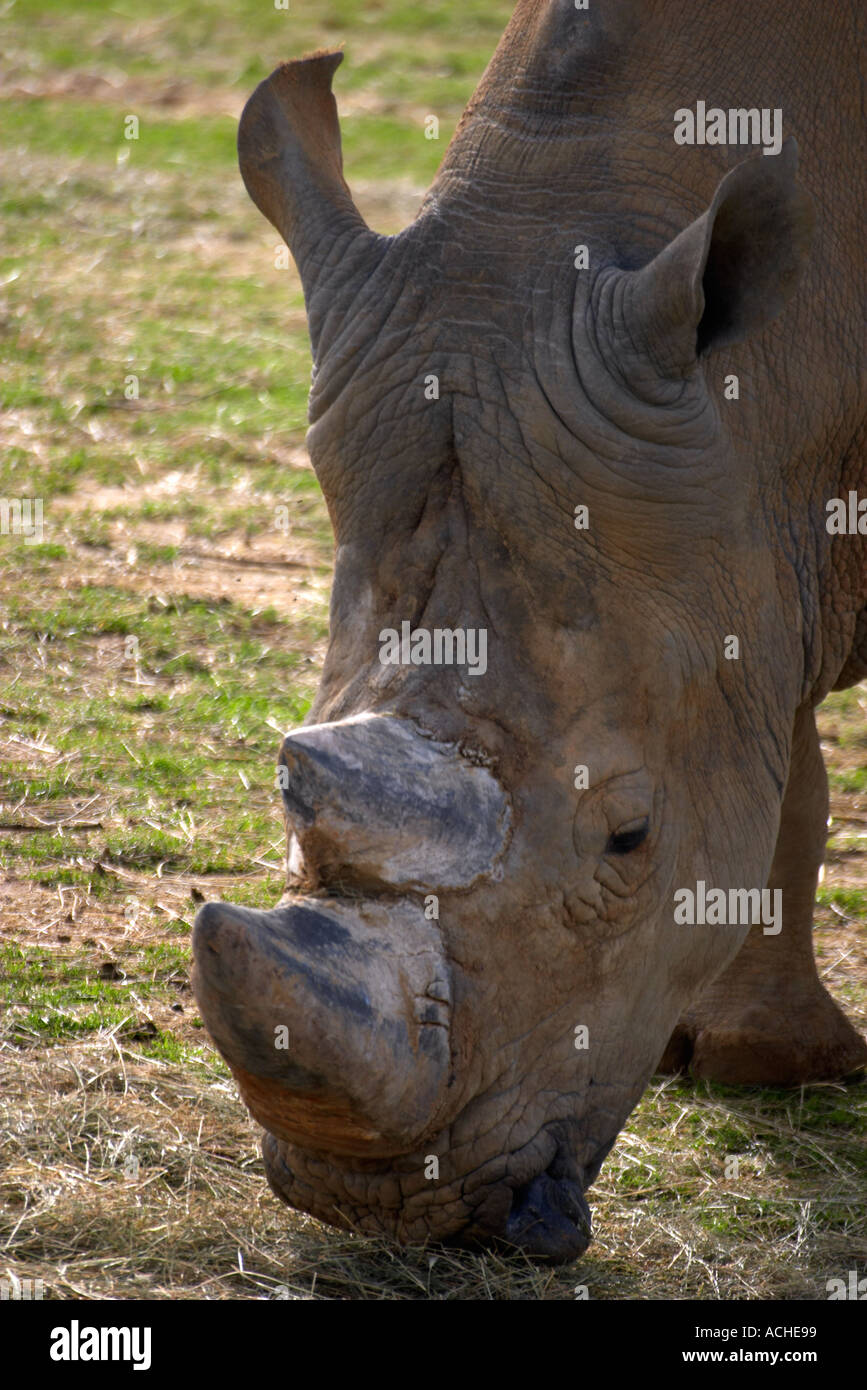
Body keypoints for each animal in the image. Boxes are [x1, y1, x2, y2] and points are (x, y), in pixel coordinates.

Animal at [192, 0, 867, 1260]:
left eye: (630, 841)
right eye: (287, 780)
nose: (378, 1203)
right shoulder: (752, 531)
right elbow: (775, 747)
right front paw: (764, 1061)